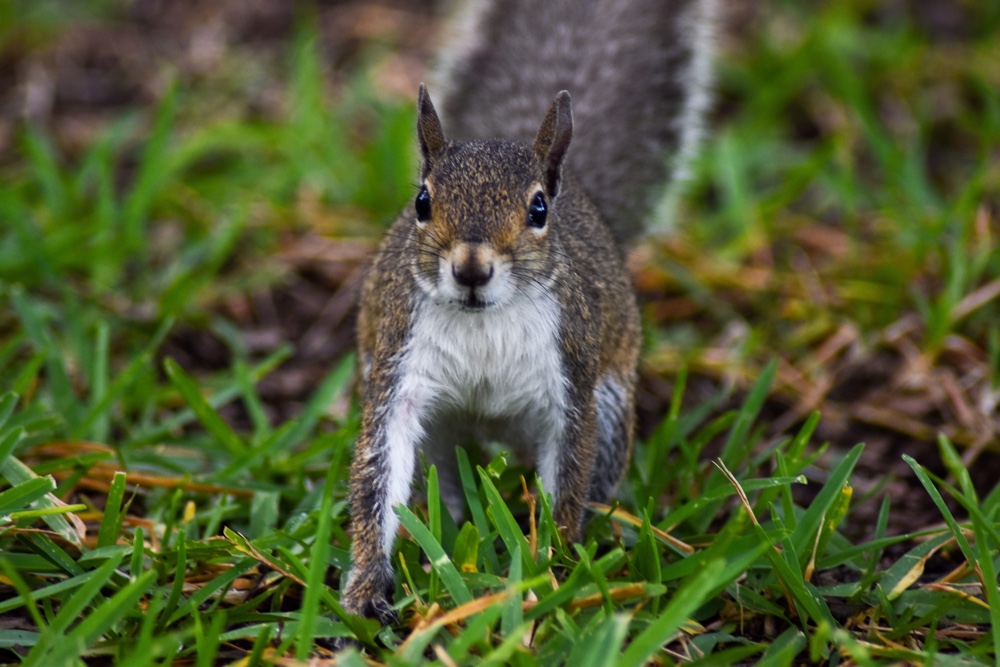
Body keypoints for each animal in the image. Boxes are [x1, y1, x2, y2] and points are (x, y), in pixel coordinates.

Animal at [341, 0, 718, 622]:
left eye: (538, 209)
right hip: (441, 434)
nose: (471, 269)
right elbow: (378, 472)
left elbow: (566, 478)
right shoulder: (399, 367)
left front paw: (554, 565)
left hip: (610, 409)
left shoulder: (572, 382)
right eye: (422, 202)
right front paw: (367, 585)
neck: (482, 320)